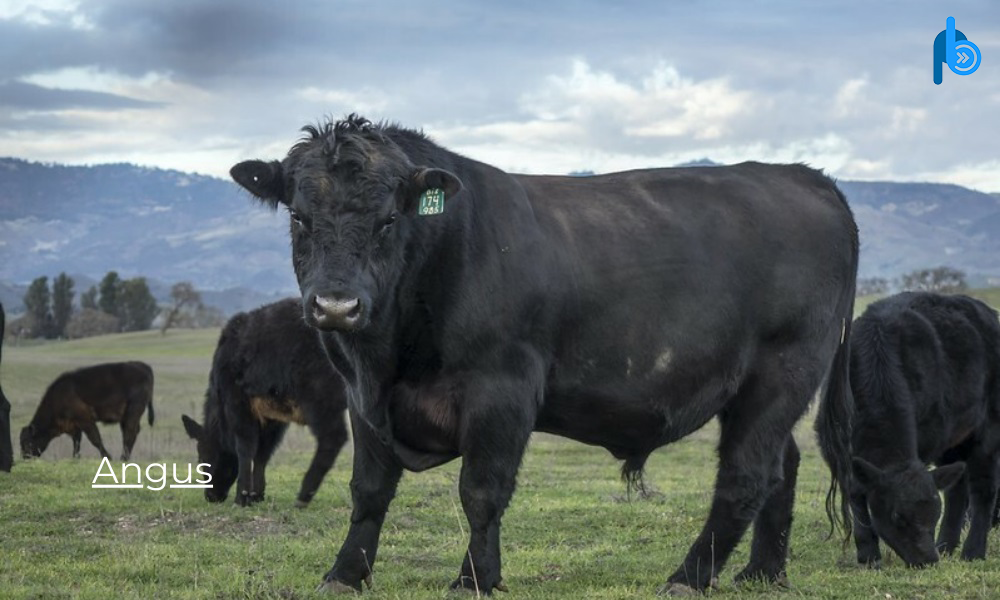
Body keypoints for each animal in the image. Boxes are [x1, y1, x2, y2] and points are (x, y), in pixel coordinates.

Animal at [19, 360, 153, 460]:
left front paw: (107, 457)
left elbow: (95, 439)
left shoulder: (85, 420)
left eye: (26, 442)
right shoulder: (74, 426)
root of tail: (143, 366)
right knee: (129, 433)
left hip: (133, 411)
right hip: (126, 417)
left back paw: (123, 458)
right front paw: (75, 458)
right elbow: (77, 443)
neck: (59, 396)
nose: (25, 457)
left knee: (130, 432)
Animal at [182, 298, 350, 508]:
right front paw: (257, 495)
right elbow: (263, 452)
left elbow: (245, 448)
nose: (211, 497)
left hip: (320, 397)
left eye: (201, 458)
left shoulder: (238, 404)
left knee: (333, 438)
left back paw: (304, 495)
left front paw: (242, 496)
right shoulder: (273, 417)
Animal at [232, 115, 860, 592]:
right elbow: (368, 491)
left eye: (389, 218)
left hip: (781, 373)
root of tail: (804, 177)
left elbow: (481, 492)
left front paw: (475, 580)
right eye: (298, 216)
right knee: (782, 467)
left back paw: (689, 577)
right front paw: (344, 574)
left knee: (745, 476)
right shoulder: (363, 398)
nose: (336, 306)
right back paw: (762, 573)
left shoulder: (501, 389)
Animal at [816, 292, 1000, 568]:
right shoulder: (838, 455)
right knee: (957, 488)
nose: (928, 560)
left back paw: (972, 552)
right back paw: (946, 545)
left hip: (987, 431)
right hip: (954, 440)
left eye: (933, 514)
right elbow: (857, 496)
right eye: (897, 516)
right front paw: (869, 557)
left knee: (983, 489)